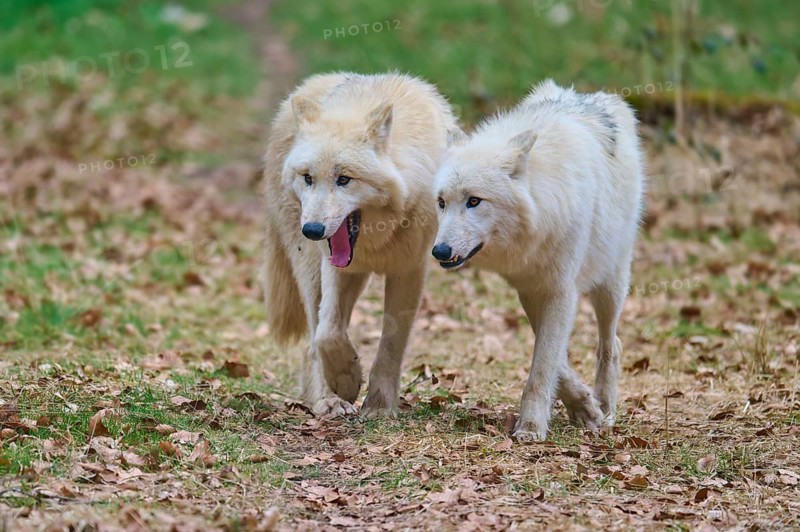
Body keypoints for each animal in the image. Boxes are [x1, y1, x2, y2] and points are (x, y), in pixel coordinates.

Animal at [263, 72, 458, 417]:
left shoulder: (409, 269)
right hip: (310, 268)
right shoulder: (335, 267)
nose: (313, 230)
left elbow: (391, 342)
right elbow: (328, 332)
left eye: (344, 179)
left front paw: (379, 405)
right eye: (308, 178)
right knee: (314, 336)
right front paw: (347, 380)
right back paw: (326, 399)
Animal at [431, 80, 645, 441]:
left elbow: (544, 365)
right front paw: (582, 406)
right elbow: (555, 360)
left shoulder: (561, 290)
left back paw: (607, 406)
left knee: (611, 344)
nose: (440, 252)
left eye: (474, 201)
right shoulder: (530, 289)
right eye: (442, 202)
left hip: (611, 283)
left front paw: (531, 426)